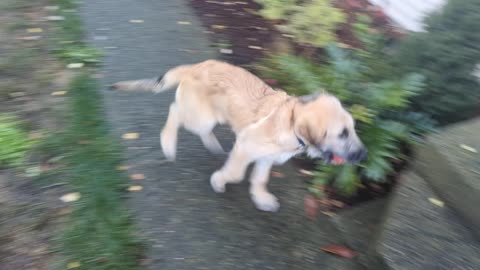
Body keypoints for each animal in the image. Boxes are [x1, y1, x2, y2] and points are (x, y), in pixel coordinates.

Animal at [113, 60, 368, 212]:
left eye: (352, 130)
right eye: (342, 134)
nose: (364, 155)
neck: (291, 123)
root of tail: (196, 66)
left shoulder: (265, 157)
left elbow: (260, 178)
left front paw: (261, 197)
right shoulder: (245, 147)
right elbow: (236, 174)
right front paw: (219, 181)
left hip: (210, 116)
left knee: (196, 125)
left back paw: (212, 144)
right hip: (200, 116)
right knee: (175, 112)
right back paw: (168, 144)